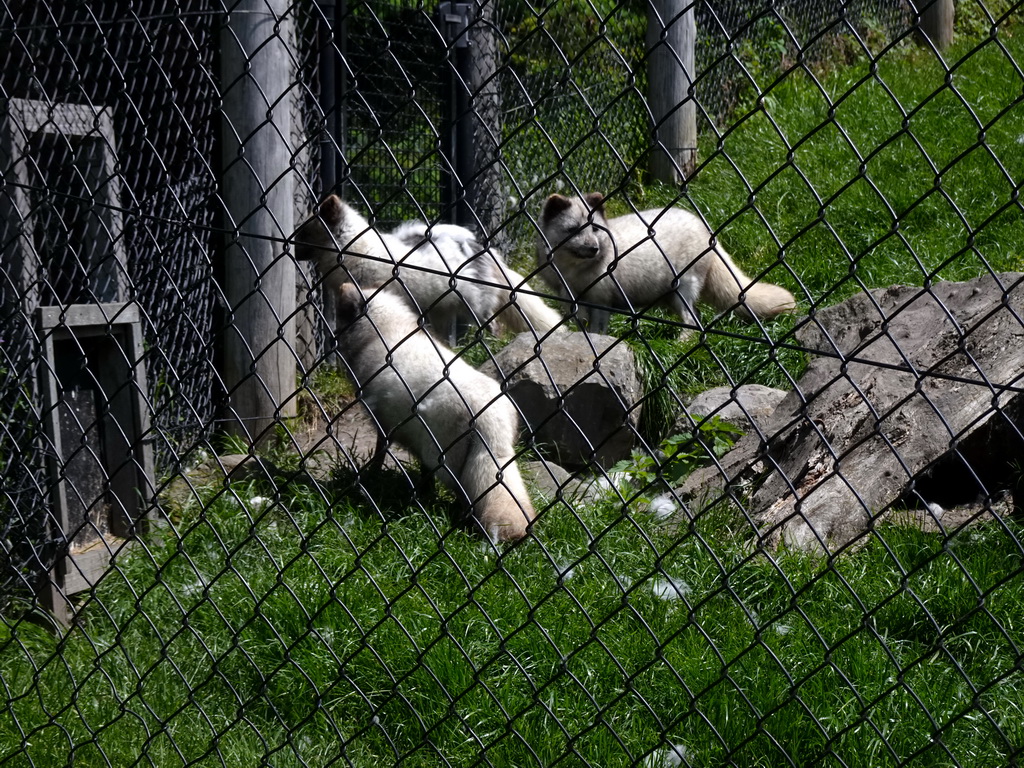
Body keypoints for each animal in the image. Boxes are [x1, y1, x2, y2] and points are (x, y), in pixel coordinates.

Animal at [292, 193, 561, 342]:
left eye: (303, 233)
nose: (291, 250)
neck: (352, 248)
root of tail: (483, 248)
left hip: (476, 307)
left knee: (494, 328)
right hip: (442, 309)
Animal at [540, 192, 794, 333]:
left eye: (595, 229)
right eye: (573, 229)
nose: (594, 249)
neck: (573, 272)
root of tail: (707, 230)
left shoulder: (601, 300)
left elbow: (597, 329)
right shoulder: (568, 297)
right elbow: (580, 321)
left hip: (683, 287)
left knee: (693, 320)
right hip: (670, 297)